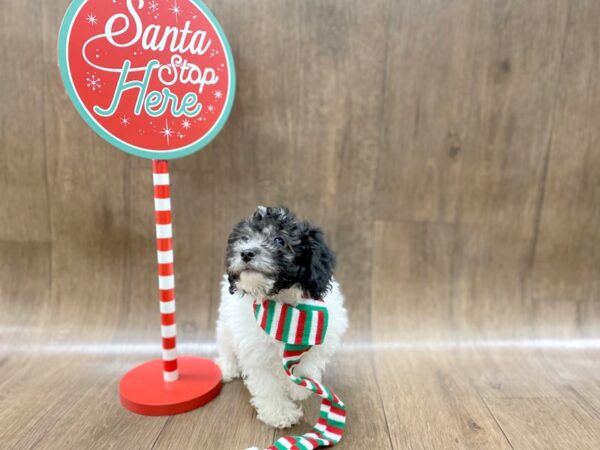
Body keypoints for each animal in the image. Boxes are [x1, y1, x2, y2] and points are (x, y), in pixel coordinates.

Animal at [214, 206, 346, 428]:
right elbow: (267, 383)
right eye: (244, 238)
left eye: (279, 240)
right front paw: (279, 413)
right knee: (226, 345)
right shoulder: (255, 350)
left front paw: (299, 388)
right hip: (225, 324)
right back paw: (227, 367)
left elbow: (305, 364)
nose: (246, 252)